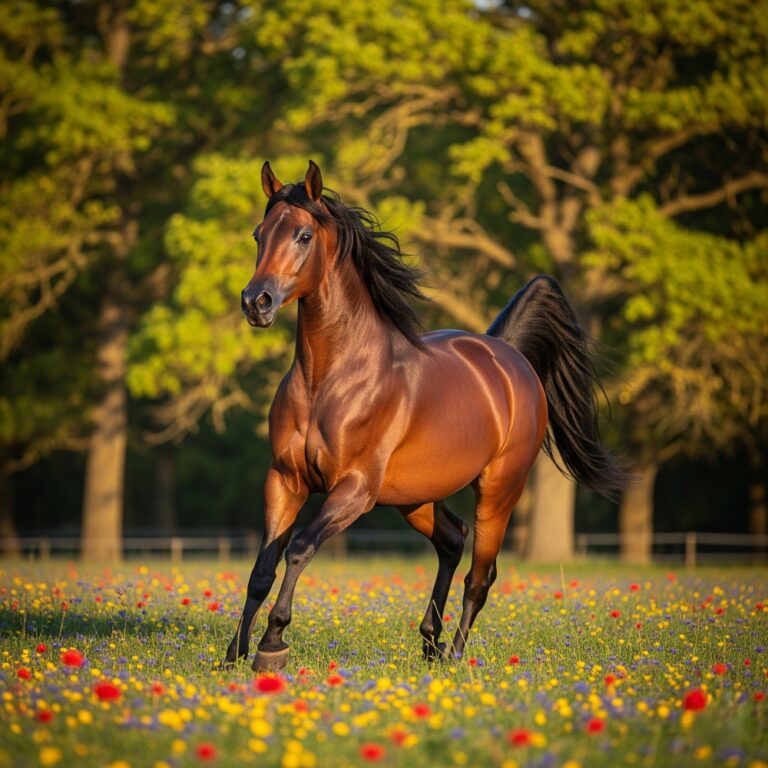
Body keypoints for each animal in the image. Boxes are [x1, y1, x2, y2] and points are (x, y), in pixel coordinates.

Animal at [227, 160, 626, 672]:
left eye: (303, 235)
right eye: (259, 235)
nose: (256, 302)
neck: (329, 380)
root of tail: (508, 356)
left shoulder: (353, 490)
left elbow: (298, 550)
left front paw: (272, 645)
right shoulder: (284, 480)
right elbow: (262, 567)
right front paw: (233, 654)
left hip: (499, 490)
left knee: (480, 577)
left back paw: (453, 655)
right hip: (414, 496)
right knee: (453, 539)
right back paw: (430, 642)